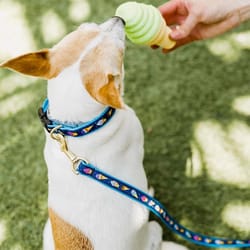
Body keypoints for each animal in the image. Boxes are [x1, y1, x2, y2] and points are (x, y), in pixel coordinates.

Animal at [0, 18, 188, 250]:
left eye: (86, 25)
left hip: (46, 230)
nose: (119, 19)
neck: (77, 128)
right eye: (120, 52)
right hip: (152, 233)